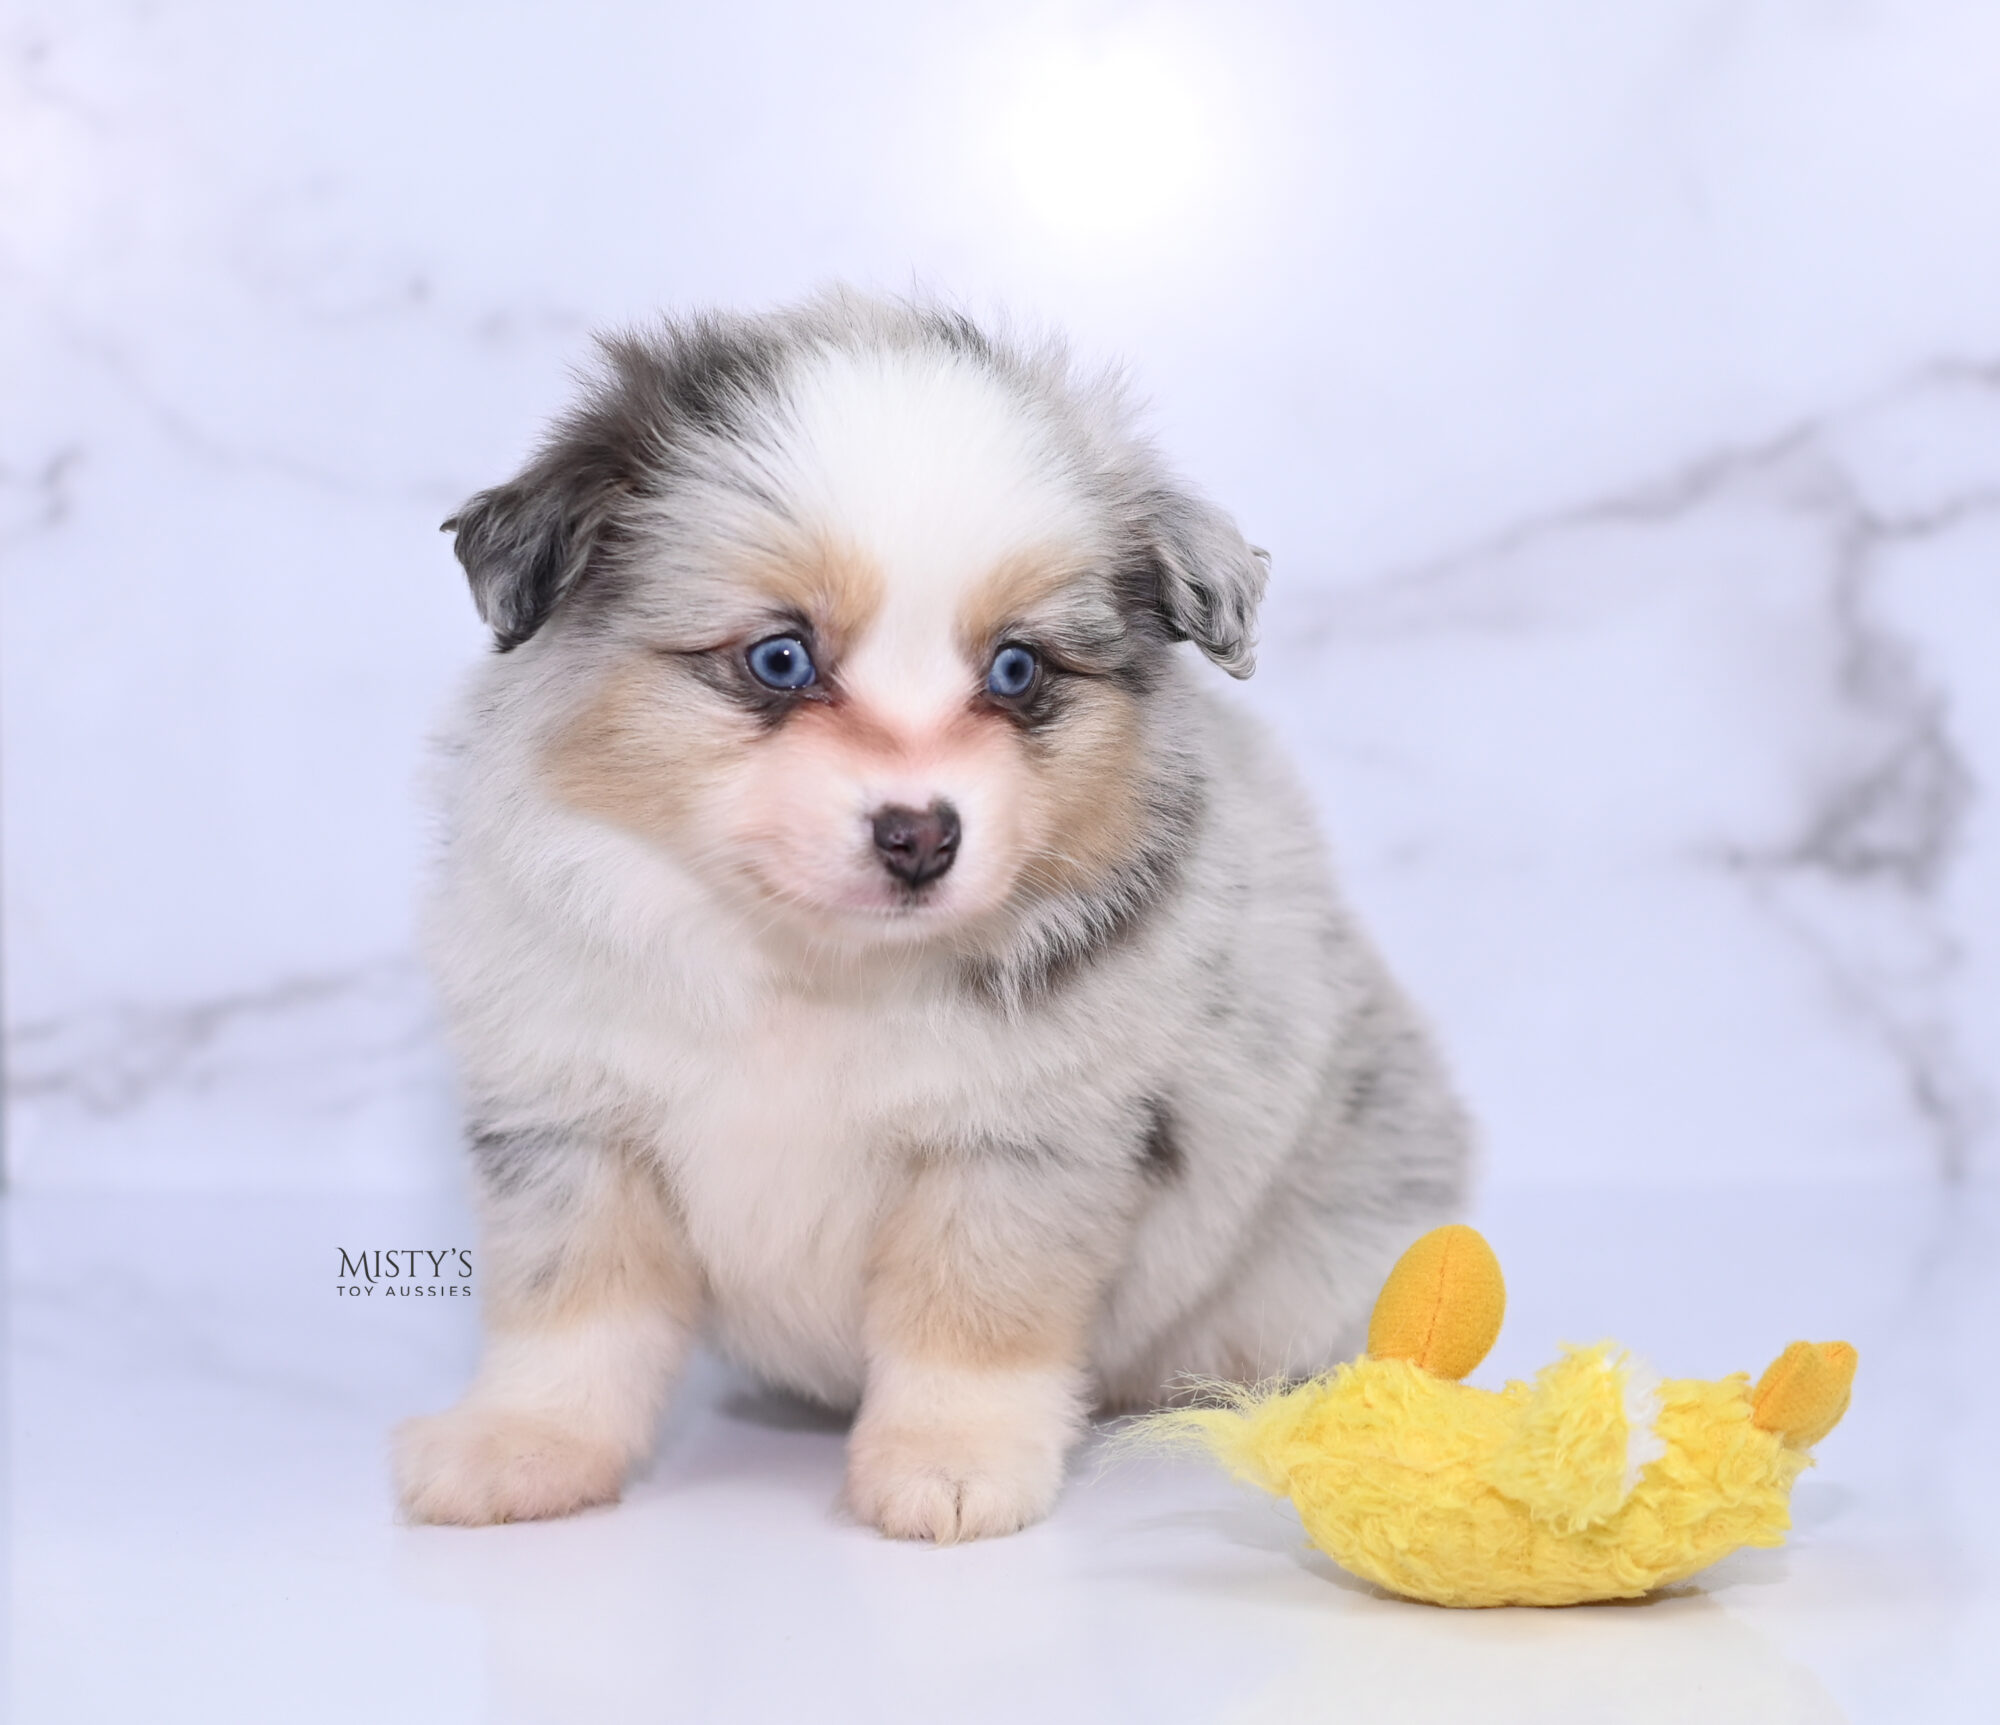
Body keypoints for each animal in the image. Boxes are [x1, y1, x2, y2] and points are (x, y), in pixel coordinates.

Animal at [402, 294, 1472, 1536]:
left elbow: (970, 1317)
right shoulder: (571, 1119)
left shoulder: (1018, 1140)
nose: (920, 837)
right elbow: (570, 1314)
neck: (810, 969)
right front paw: (524, 1445)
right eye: (779, 657)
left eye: (1015, 670)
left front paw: (950, 1464)